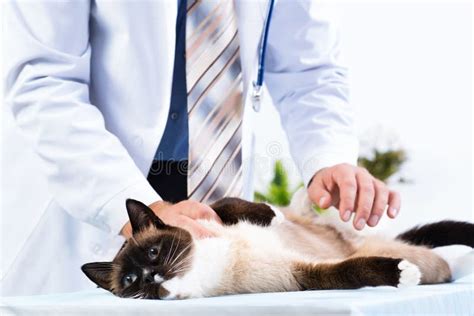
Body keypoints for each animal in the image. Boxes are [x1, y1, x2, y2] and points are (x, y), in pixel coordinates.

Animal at [82, 199, 474, 300]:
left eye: (153, 253)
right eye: (130, 281)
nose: (152, 277)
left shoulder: (210, 215)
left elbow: (227, 204)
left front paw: (269, 213)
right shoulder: (302, 277)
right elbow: (348, 270)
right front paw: (400, 274)